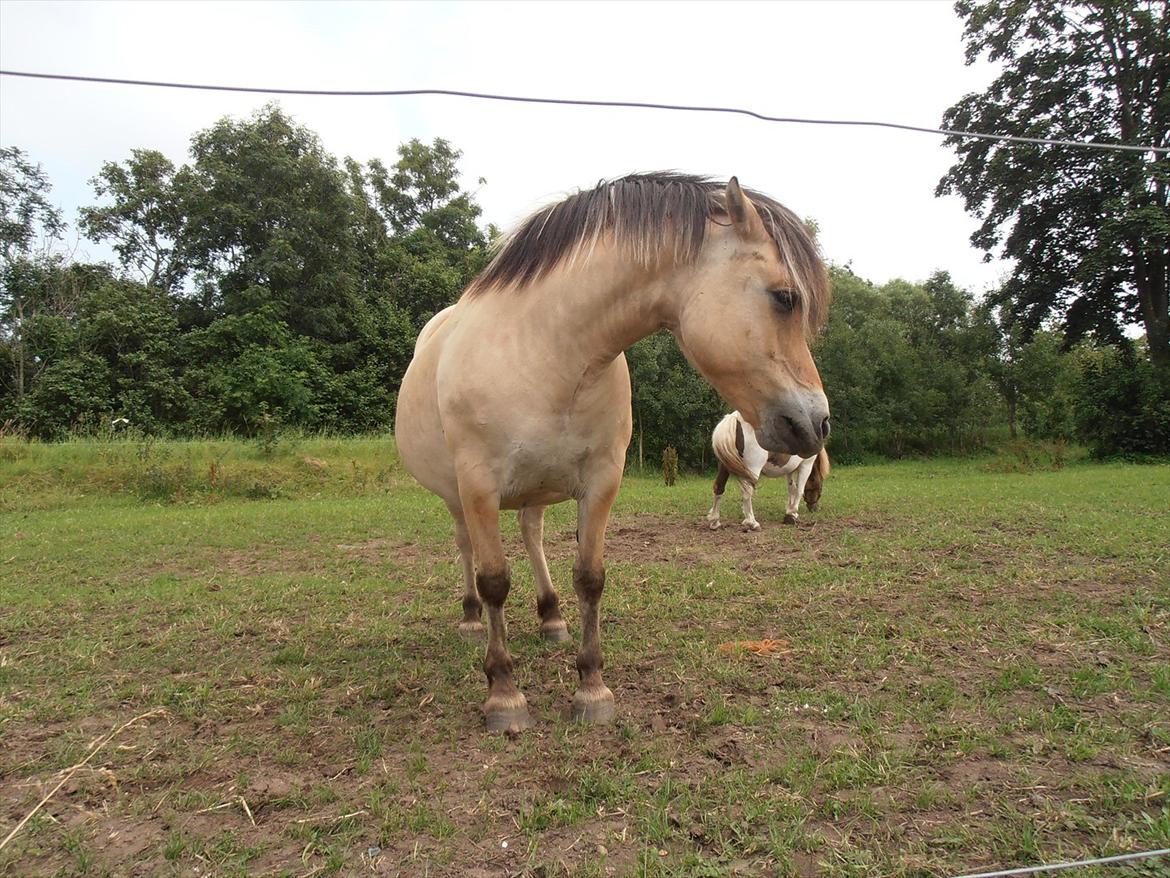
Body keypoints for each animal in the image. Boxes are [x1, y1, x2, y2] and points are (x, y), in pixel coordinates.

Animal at [702, 412, 833, 529]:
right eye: (821, 487)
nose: (815, 508)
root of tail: (735, 419)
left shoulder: (789, 469)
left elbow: (792, 489)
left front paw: (789, 511)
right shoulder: (806, 465)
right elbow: (799, 490)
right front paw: (792, 514)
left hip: (724, 467)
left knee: (719, 488)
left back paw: (715, 522)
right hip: (752, 469)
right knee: (747, 493)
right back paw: (752, 523)